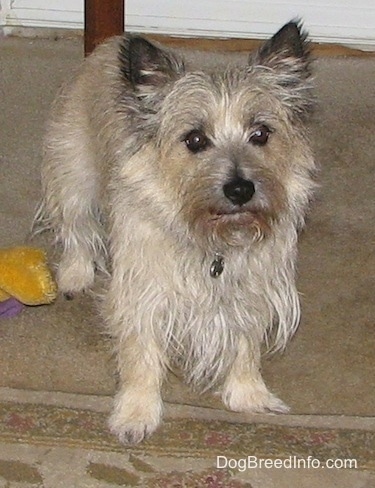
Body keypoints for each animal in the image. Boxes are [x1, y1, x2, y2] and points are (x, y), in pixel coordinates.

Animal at [35, 21, 318, 444]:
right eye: (195, 139)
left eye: (261, 134)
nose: (240, 189)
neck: (214, 241)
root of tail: (110, 43)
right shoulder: (142, 292)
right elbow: (140, 355)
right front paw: (136, 412)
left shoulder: (252, 288)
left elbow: (245, 343)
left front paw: (249, 395)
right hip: (73, 176)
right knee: (76, 230)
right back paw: (74, 274)